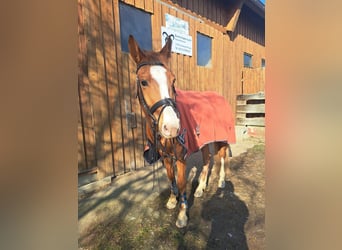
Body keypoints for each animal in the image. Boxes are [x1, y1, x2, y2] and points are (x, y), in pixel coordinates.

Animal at [129, 35, 235, 229]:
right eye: (143, 81)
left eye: (173, 80)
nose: (172, 127)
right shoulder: (165, 158)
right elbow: (171, 179)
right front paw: (172, 200)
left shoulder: (181, 158)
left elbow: (181, 183)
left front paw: (182, 215)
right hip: (204, 140)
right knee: (207, 160)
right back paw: (200, 188)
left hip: (221, 139)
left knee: (222, 157)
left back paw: (222, 181)